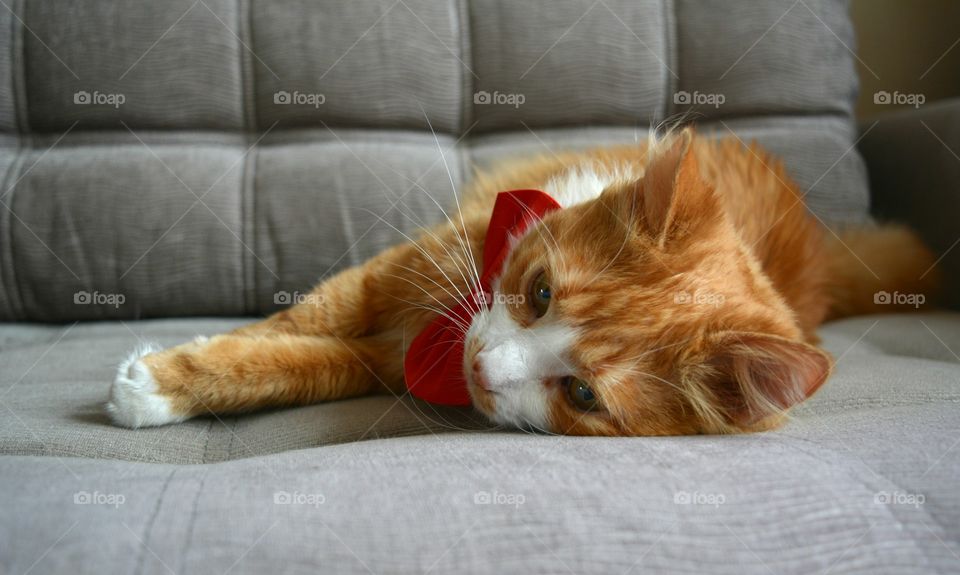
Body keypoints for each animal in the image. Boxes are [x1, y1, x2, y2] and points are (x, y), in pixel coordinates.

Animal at [105, 129, 936, 436]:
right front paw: (171, 372)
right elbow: (289, 329)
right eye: (539, 293)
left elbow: (305, 365)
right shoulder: (386, 277)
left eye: (584, 394)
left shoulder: (381, 357)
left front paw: (168, 382)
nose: (477, 366)